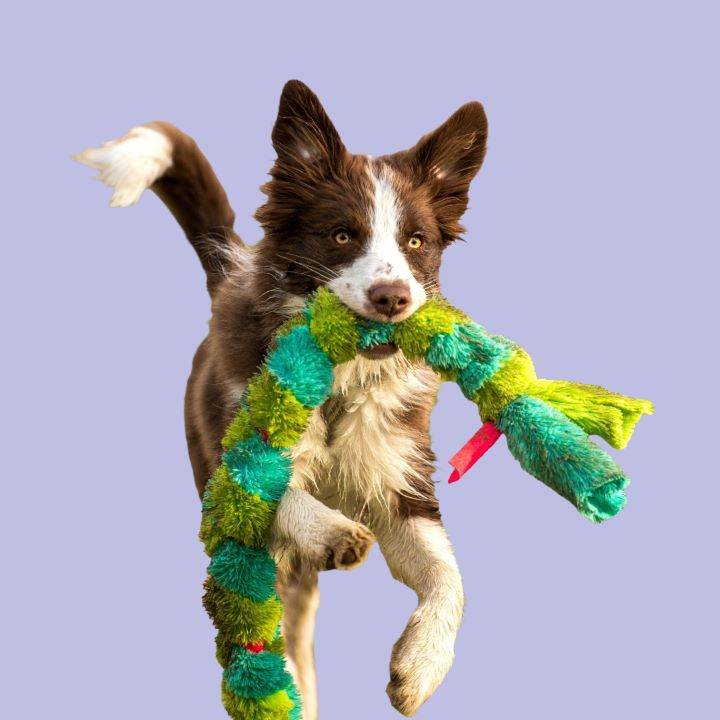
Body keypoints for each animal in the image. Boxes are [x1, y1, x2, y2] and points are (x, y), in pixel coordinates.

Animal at [74, 81, 490, 716]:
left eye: (416, 241)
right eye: (342, 235)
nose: (393, 297)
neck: (340, 384)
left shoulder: (400, 475)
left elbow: (449, 576)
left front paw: (420, 668)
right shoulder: (234, 460)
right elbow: (277, 495)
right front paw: (334, 533)